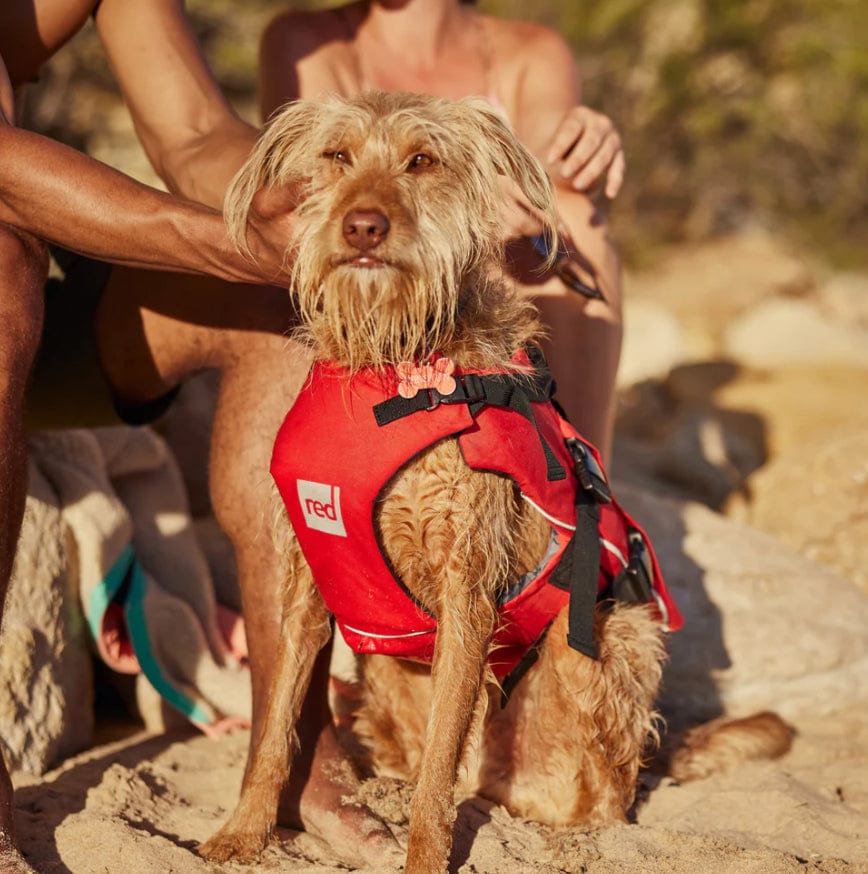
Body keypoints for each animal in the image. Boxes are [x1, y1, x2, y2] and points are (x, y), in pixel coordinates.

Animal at [198, 92, 792, 868]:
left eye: (422, 160)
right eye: (337, 156)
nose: (363, 224)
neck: (394, 365)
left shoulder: (468, 586)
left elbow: (436, 780)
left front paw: (423, 858)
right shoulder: (304, 582)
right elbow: (274, 726)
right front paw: (243, 830)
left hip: (606, 634)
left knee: (599, 793)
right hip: (381, 683)